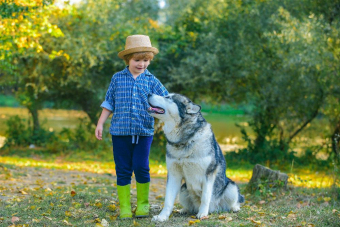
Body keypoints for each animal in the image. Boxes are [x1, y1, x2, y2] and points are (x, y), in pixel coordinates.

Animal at [149, 92, 244, 222]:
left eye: (168, 97)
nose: (148, 94)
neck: (185, 140)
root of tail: (214, 209)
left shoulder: (209, 174)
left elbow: (205, 197)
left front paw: (202, 214)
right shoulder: (174, 174)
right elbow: (168, 200)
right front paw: (162, 216)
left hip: (231, 187)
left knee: (234, 201)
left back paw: (234, 208)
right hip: (183, 189)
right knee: (189, 206)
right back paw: (184, 210)